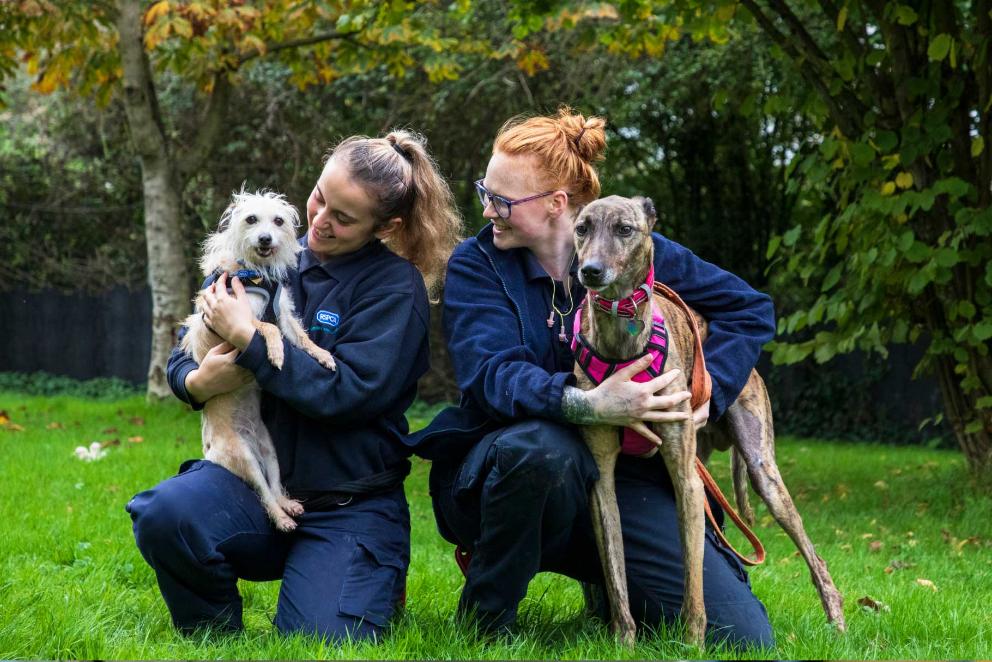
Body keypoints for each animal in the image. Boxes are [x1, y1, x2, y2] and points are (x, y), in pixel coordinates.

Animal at [185, 188, 338, 536]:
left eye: (278, 221)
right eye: (251, 219)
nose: (266, 238)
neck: (257, 273)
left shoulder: (283, 313)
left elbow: (300, 336)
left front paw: (323, 356)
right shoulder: (236, 320)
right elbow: (268, 329)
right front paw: (277, 352)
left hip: (270, 453)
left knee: (274, 485)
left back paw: (288, 505)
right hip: (244, 458)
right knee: (263, 494)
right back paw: (281, 518)